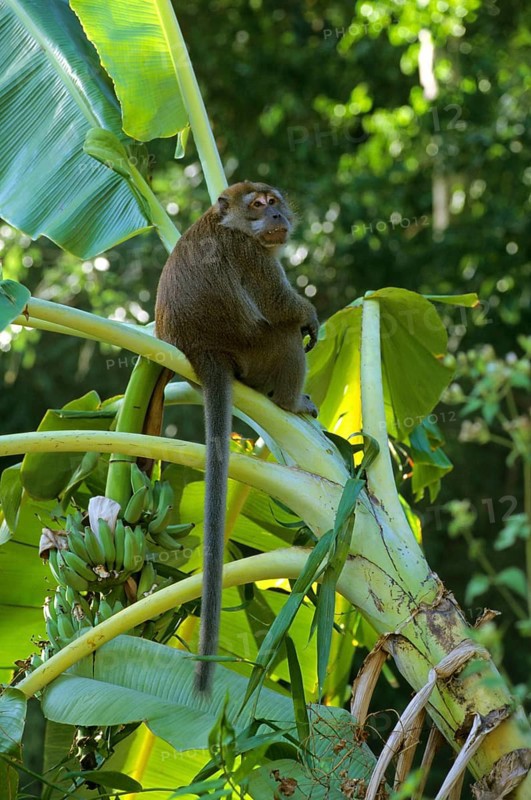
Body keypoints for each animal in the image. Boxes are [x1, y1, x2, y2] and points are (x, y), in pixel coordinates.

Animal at [154, 181, 319, 693]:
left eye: (274, 201)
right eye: (258, 205)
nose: (277, 216)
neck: (228, 223)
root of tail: (203, 351)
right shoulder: (251, 255)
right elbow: (283, 306)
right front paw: (309, 314)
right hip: (256, 351)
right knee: (283, 335)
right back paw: (290, 401)